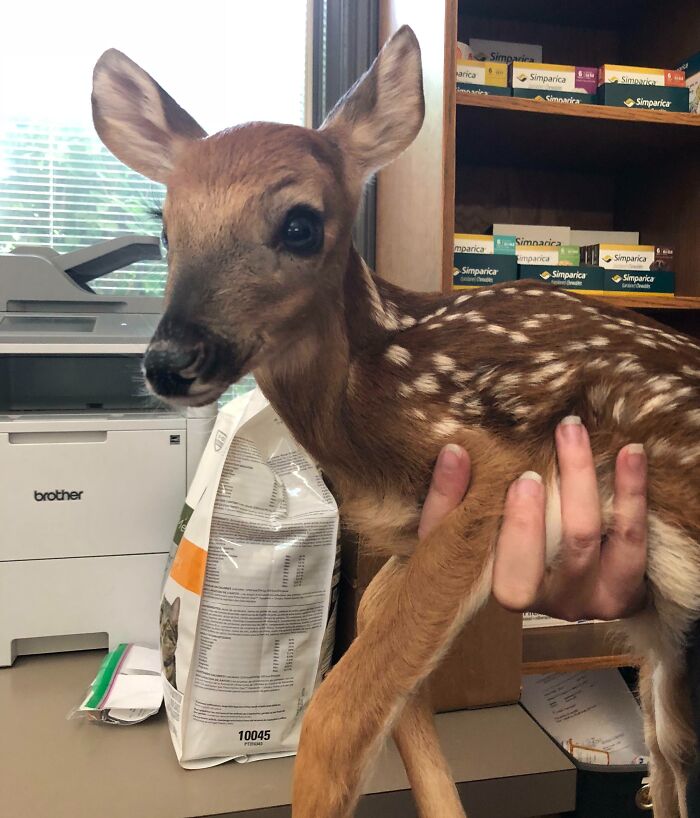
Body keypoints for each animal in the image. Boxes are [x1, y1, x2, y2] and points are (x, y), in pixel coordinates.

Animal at [91, 25, 700, 818]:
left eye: (300, 224)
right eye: (164, 229)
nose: (171, 359)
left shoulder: (498, 460)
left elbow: (338, 716)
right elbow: (380, 630)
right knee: (668, 755)